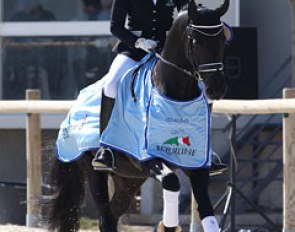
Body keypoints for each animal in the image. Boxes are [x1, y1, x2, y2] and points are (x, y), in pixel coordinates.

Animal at [47, 0, 230, 231]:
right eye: (195, 42)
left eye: (223, 40)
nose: (217, 88)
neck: (174, 93)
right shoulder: (149, 159)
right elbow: (172, 184)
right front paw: (167, 225)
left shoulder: (196, 164)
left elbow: (206, 210)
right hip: (94, 171)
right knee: (106, 216)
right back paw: (104, 156)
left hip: (129, 180)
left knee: (109, 216)